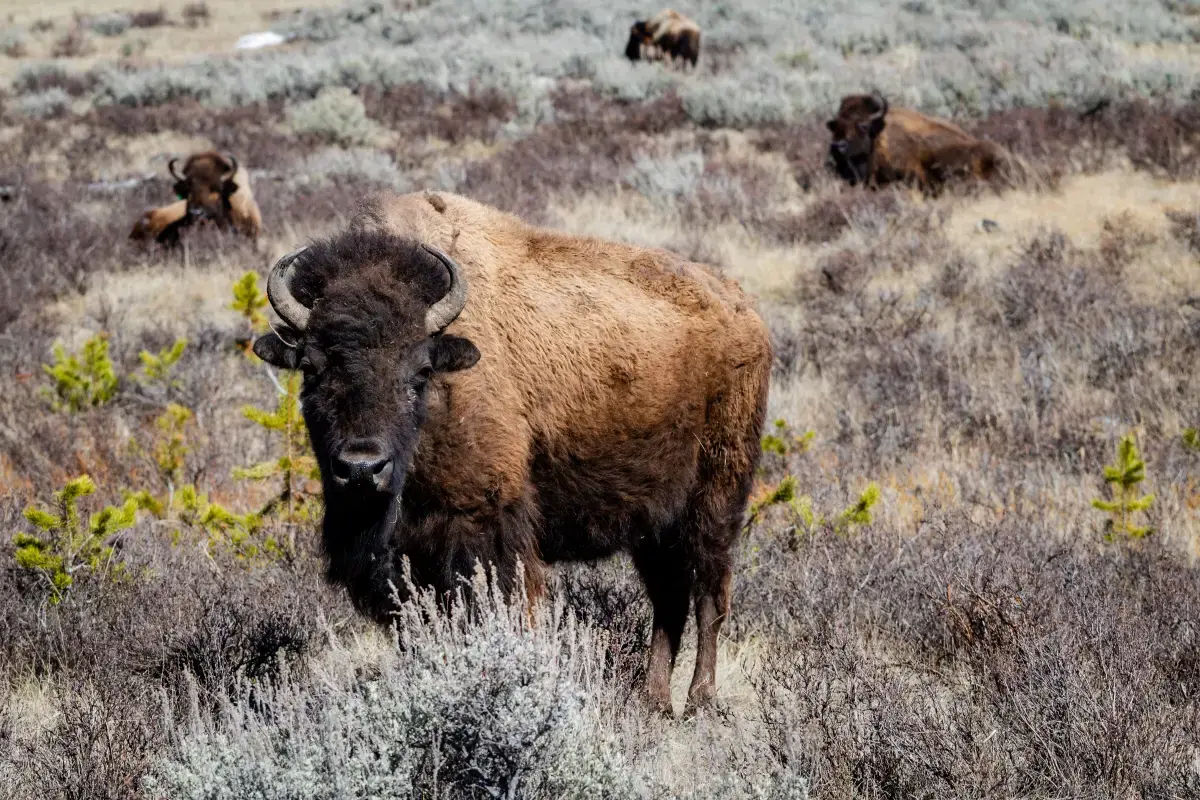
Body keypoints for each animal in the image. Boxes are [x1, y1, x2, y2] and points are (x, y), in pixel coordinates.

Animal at [254, 190, 772, 714]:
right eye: (312, 369)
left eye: (420, 371)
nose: (362, 469)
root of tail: (744, 311)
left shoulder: (485, 529)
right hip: (654, 524)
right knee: (668, 601)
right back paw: (653, 701)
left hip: (716, 498)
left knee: (710, 594)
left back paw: (700, 700)